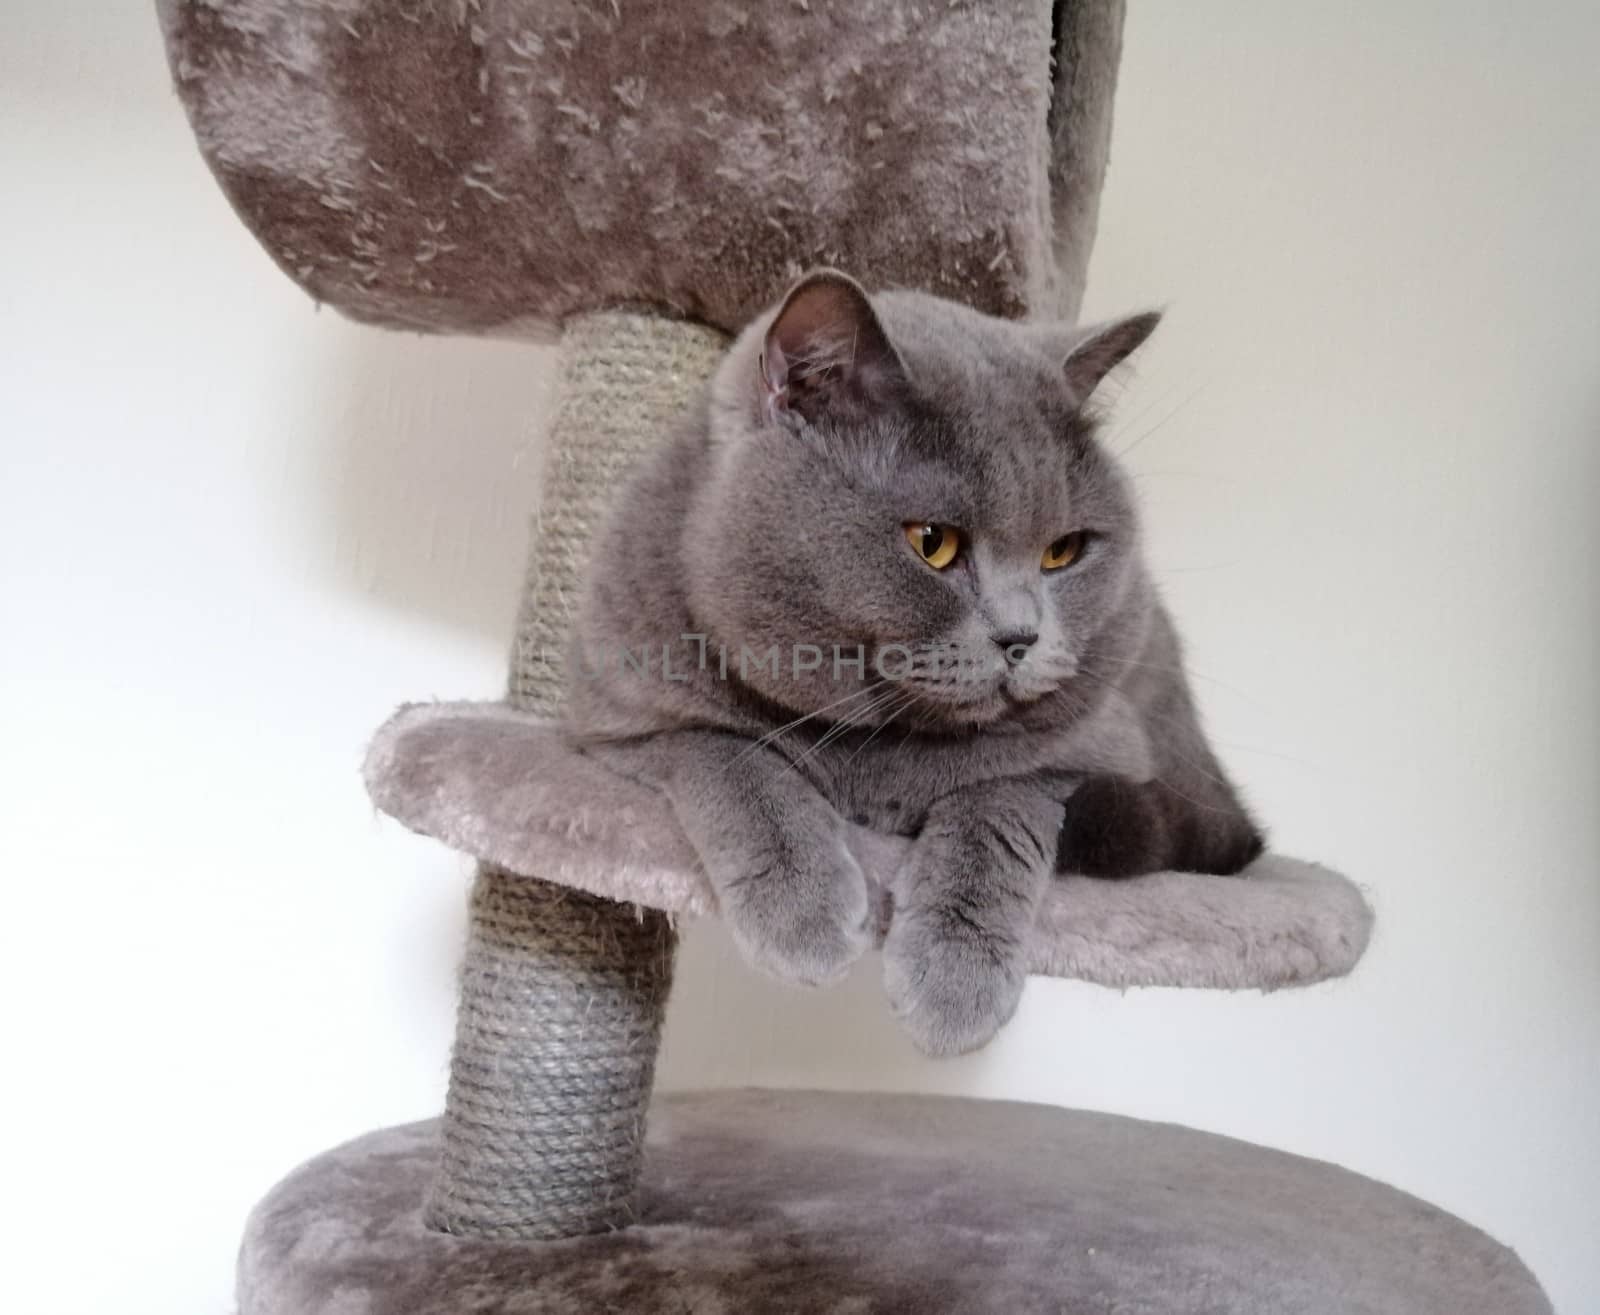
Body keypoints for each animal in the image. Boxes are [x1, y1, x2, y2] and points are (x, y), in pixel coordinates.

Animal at [566, 273, 1260, 1055]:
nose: (1021, 636)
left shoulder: (1092, 750)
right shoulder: (618, 718)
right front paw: (802, 907)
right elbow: (735, 761)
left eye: (1064, 551)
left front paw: (956, 979)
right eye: (934, 542)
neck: (875, 748)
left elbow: (998, 805)